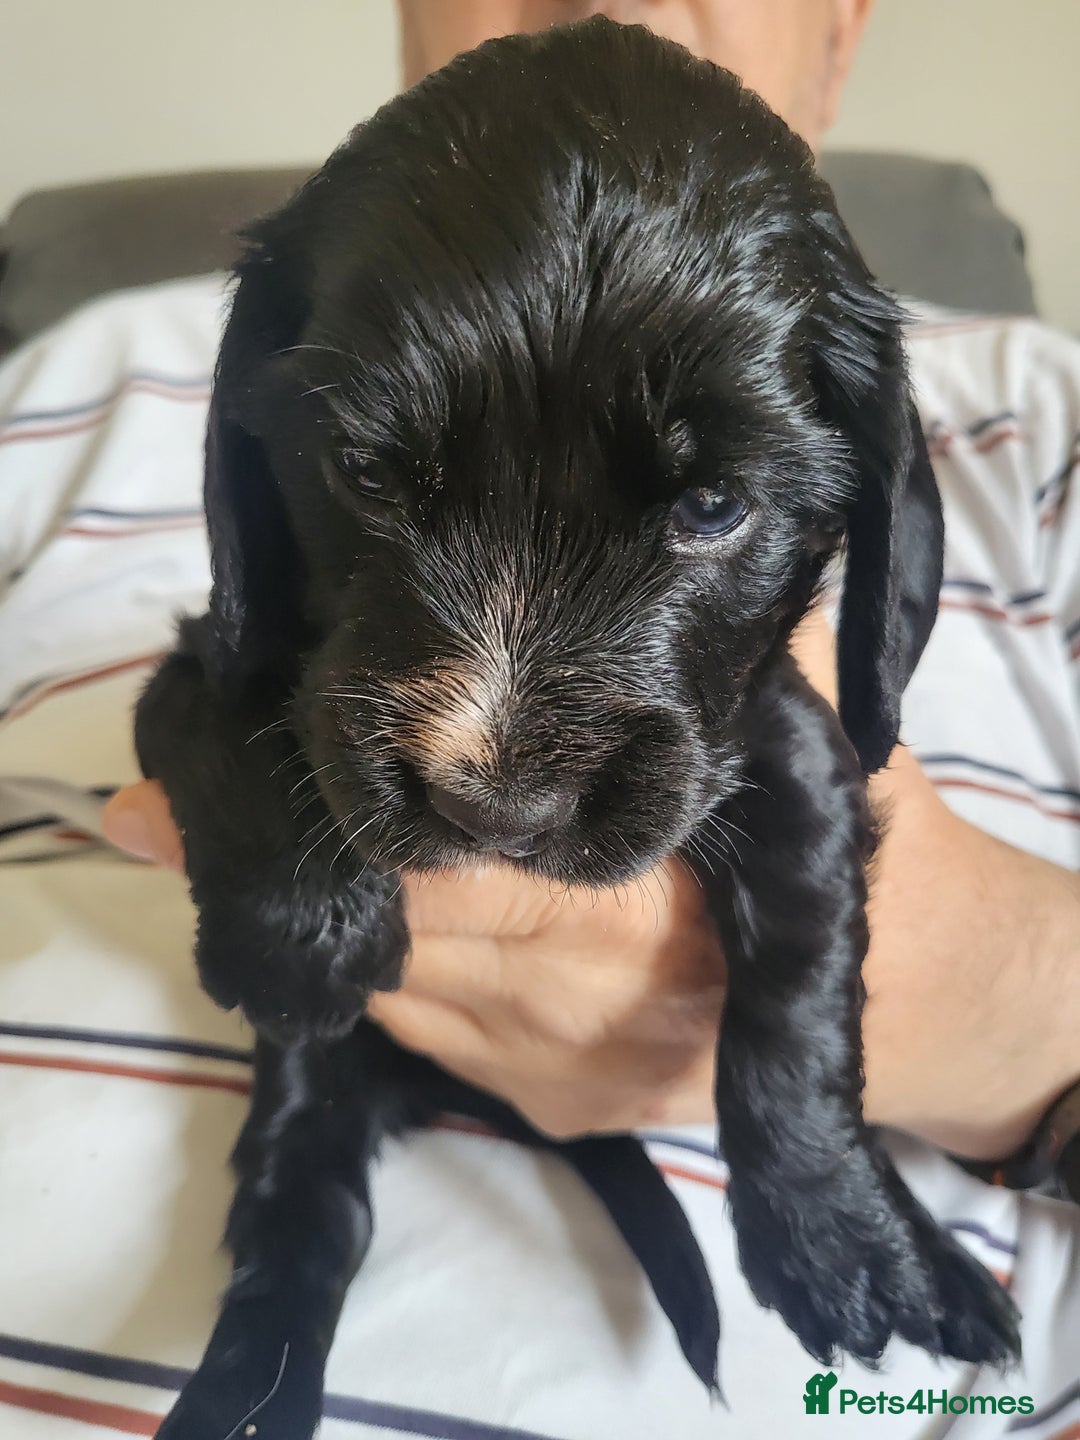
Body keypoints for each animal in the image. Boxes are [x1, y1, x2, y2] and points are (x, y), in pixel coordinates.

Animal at [135, 16, 1020, 1437]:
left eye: (714, 505)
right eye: (365, 473)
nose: (492, 803)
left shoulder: (784, 741)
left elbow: (802, 968)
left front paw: (837, 1236)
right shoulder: (203, 658)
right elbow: (241, 733)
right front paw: (302, 936)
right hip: (315, 1108)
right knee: (301, 1201)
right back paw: (245, 1386)